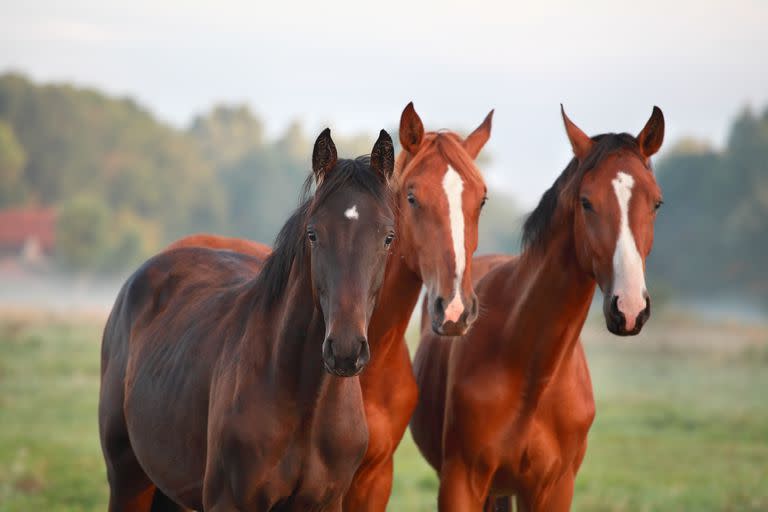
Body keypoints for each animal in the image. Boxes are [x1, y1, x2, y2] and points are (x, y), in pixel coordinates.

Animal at [100, 129, 396, 512]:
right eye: (313, 234)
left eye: (388, 237)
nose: (345, 350)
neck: (305, 403)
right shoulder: (229, 502)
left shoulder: (327, 503)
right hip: (127, 480)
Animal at [408, 106, 664, 510]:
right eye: (586, 202)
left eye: (656, 202)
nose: (629, 308)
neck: (532, 372)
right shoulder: (460, 484)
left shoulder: (554, 489)